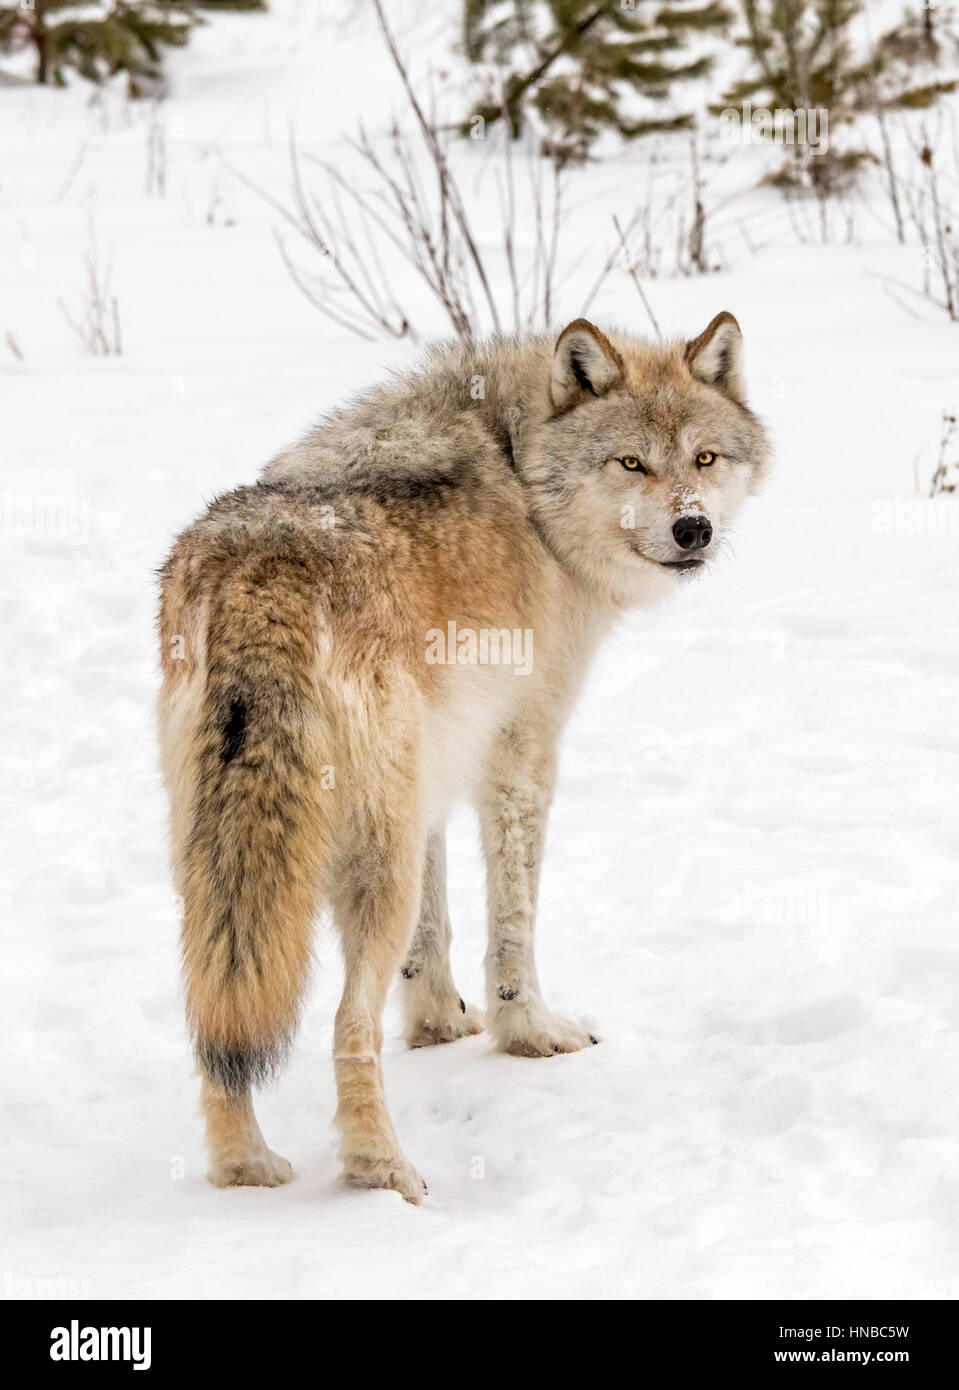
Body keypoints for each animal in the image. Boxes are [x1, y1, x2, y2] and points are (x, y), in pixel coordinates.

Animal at [158, 312, 770, 1201]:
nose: (694, 529)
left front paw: (440, 1026)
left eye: (704, 459)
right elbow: (512, 924)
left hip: (219, 869)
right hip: (363, 868)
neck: (522, 467)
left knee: (220, 1015)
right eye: (630, 463)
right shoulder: (520, 753)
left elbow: (434, 933)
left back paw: (245, 1169)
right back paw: (382, 1171)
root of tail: (262, 572)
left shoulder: (437, 772)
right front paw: (529, 1031)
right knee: (346, 1023)